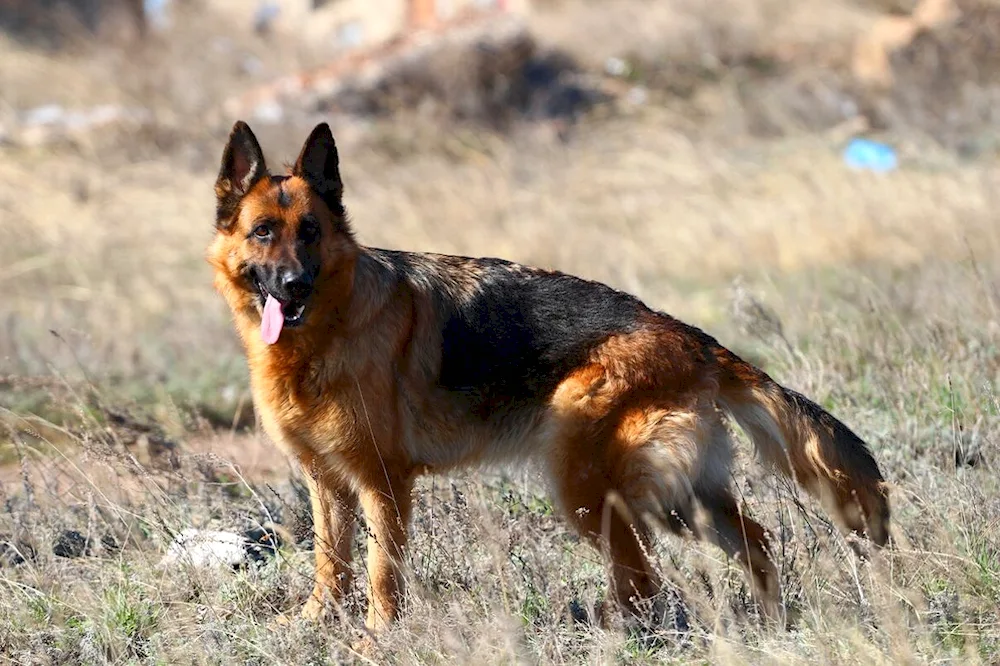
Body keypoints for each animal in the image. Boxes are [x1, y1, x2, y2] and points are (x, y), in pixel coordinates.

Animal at [209, 122, 892, 636]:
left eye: (312, 233)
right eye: (264, 232)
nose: (294, 286)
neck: (328, 330)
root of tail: (692, 338)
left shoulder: (383, 484)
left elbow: (381, 572)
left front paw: (377, 638)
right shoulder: (327, 484)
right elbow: (331, 564)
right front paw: (314, 624)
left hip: (596, 494)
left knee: (645, 582)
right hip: (681, 498)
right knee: (752, 543)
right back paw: (772, 626)